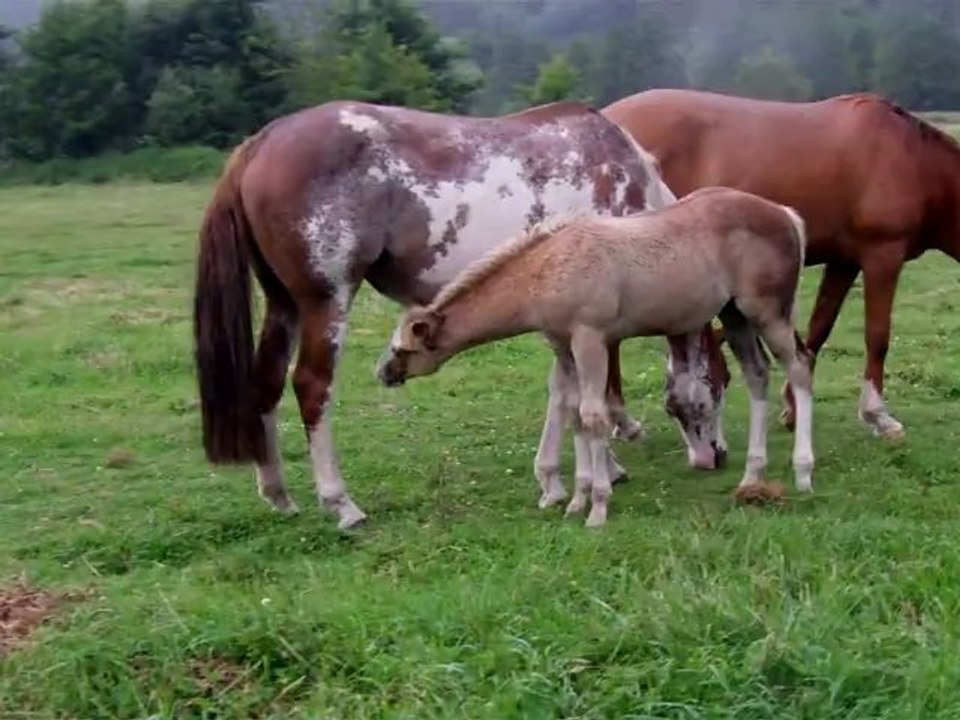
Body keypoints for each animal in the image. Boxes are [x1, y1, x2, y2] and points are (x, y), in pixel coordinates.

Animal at [192, 98, 726, 530]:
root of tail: (259, 144)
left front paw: (556, 480)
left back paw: (278, 494)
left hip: (284, 304)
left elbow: (562, 393)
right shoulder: (589, 317)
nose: (715, 456)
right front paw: (605, 468)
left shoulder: (557, 318)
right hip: (326, 302)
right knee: (311, 387)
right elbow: (592, 392)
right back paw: (342, 504)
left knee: (266, 384)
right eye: (720, 383)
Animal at [377, 186, 815, 527]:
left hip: (767, 312)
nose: (383, 372)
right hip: (735, 314)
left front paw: (598, 507)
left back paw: (803, 472)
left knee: (800, 367)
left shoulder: (589, 338)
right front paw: (576, 499)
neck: (546, 270)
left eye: (404, 348)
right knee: (758, 374)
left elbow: (592, 416)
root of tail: (787, 215)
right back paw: (752, 477)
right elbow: (573, 414)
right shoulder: (563, 345)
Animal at [603, 88, 960, 441]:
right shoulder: (882, 256)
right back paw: (623, 421)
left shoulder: (844, 261)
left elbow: (819, 329)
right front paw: (878, 415)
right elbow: (877, 335)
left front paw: (791, 407)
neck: (913, 159)